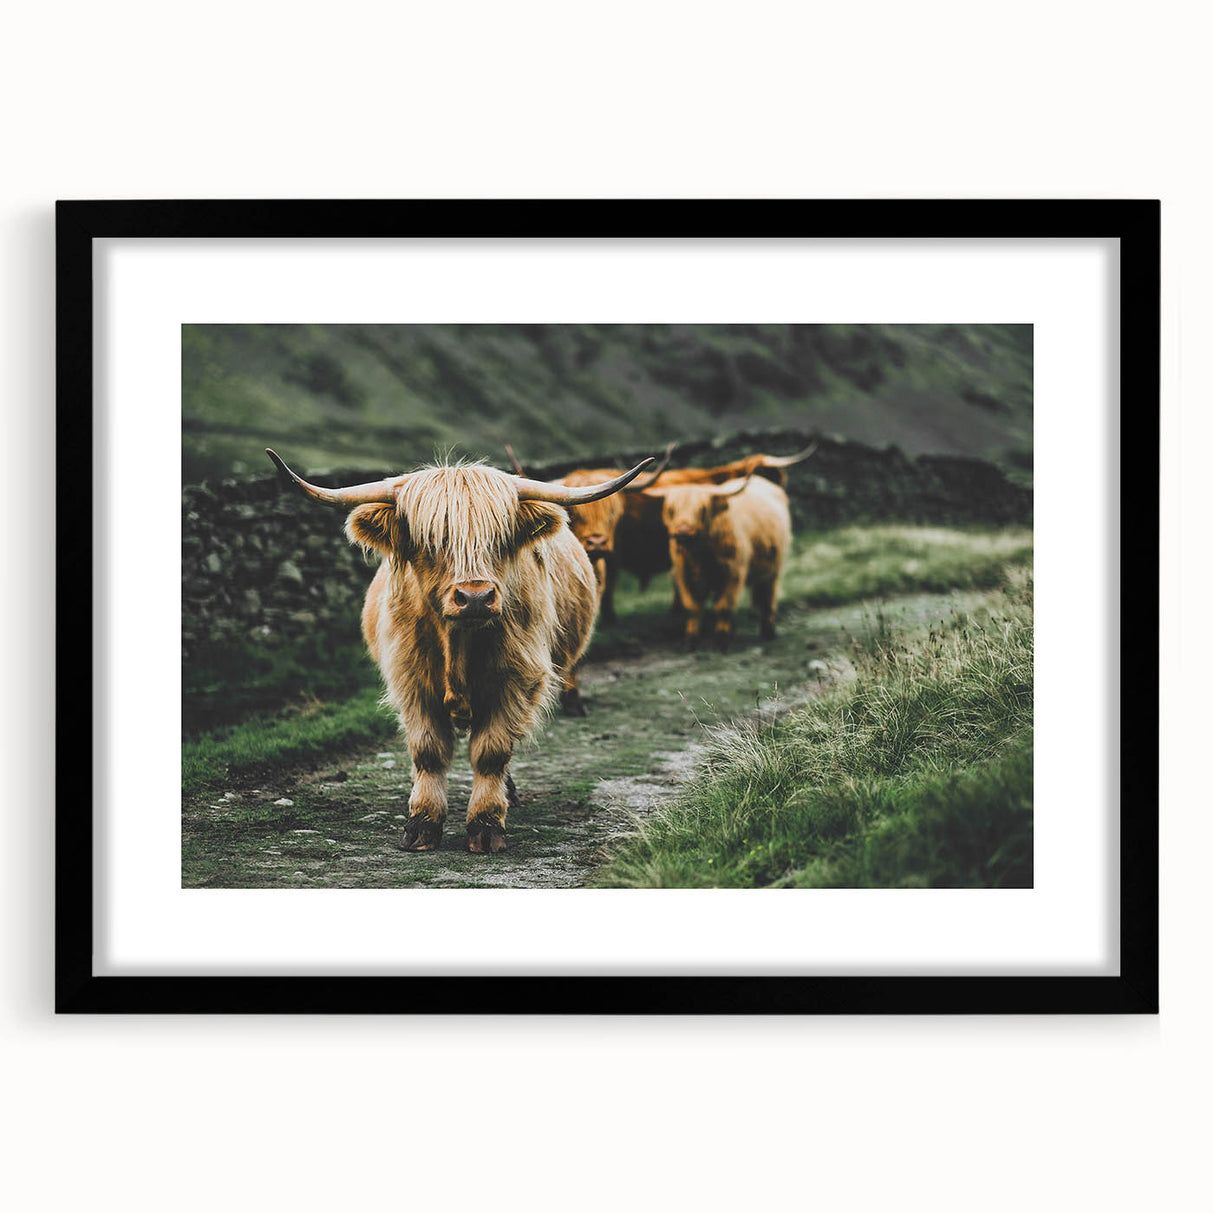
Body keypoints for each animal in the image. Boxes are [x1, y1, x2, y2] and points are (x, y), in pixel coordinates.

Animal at [265, 448, 654, 854]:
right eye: (431, 539)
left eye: (500, 538)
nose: (476, 597)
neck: (458, 644)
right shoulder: (411, 682)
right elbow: (428, 751)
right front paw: (421, 823)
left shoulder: (516, 681)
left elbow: (492, 752)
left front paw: (486, 824)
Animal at [641, 471, 792, 651]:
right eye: (671, 509)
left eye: (702, 509)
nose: (683, 530)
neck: (700, 553)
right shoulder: (683, 574)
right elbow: (692, 607)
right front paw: (691, 641)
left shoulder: (734, 572)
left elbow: (724, 606)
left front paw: (722, 641)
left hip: (774, 567)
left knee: (768, 597)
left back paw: (768, 631)